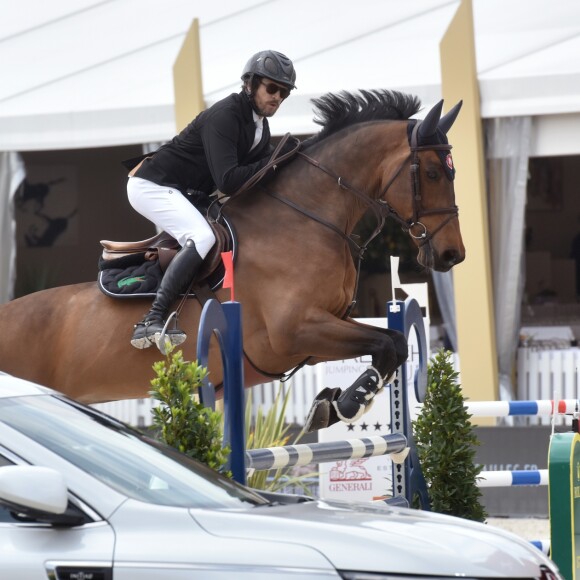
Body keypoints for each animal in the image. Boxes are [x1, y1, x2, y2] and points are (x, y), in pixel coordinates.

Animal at [0, 90, 464, 432]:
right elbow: (388, 343)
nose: (451, 254)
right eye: (433, 173)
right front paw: (345, 405)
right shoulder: (294, 331)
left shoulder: (323, 329)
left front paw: (333, 404)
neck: (307, 217)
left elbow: (392, 343)